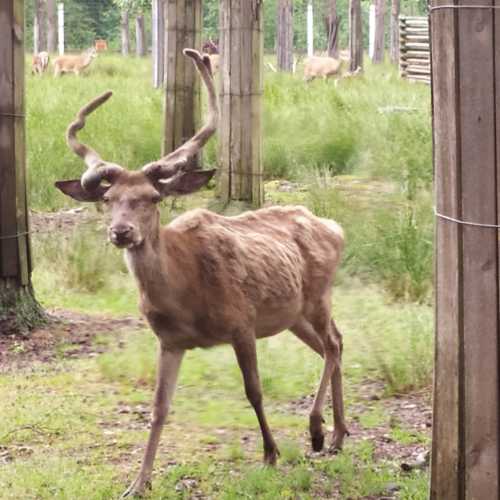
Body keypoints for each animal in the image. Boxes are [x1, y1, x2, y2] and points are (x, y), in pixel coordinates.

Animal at [52, 48, 346, 498]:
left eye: (153, 197)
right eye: (108, 199)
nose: (121, 232)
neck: (184, 293)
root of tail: (335, 227)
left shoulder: (241, 321)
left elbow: (254, 390)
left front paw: (270, 453)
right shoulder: (170, 341)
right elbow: (158, 407)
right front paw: (139, 481)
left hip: (317, 295)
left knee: (331, 344)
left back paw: (316, 430)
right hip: (292, 314)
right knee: (337, 343)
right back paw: (339, 434)